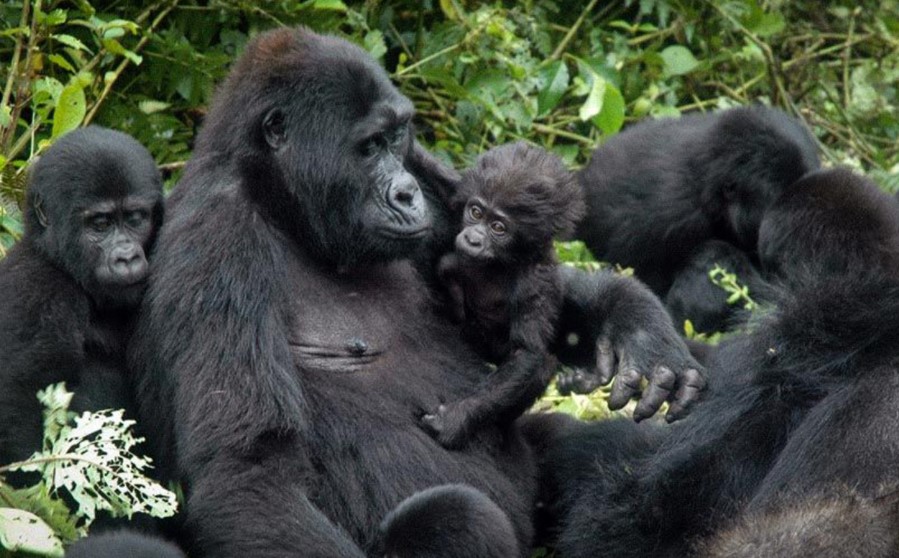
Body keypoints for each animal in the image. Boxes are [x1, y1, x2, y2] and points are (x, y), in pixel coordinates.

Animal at [422, 142, 584, 448]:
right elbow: (449, 186)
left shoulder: (536, 282)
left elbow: (526, 355)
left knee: (542, 365)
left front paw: (457, 418)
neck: (507, 258)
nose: (472, 238)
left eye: (498, 227)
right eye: (475, 212)